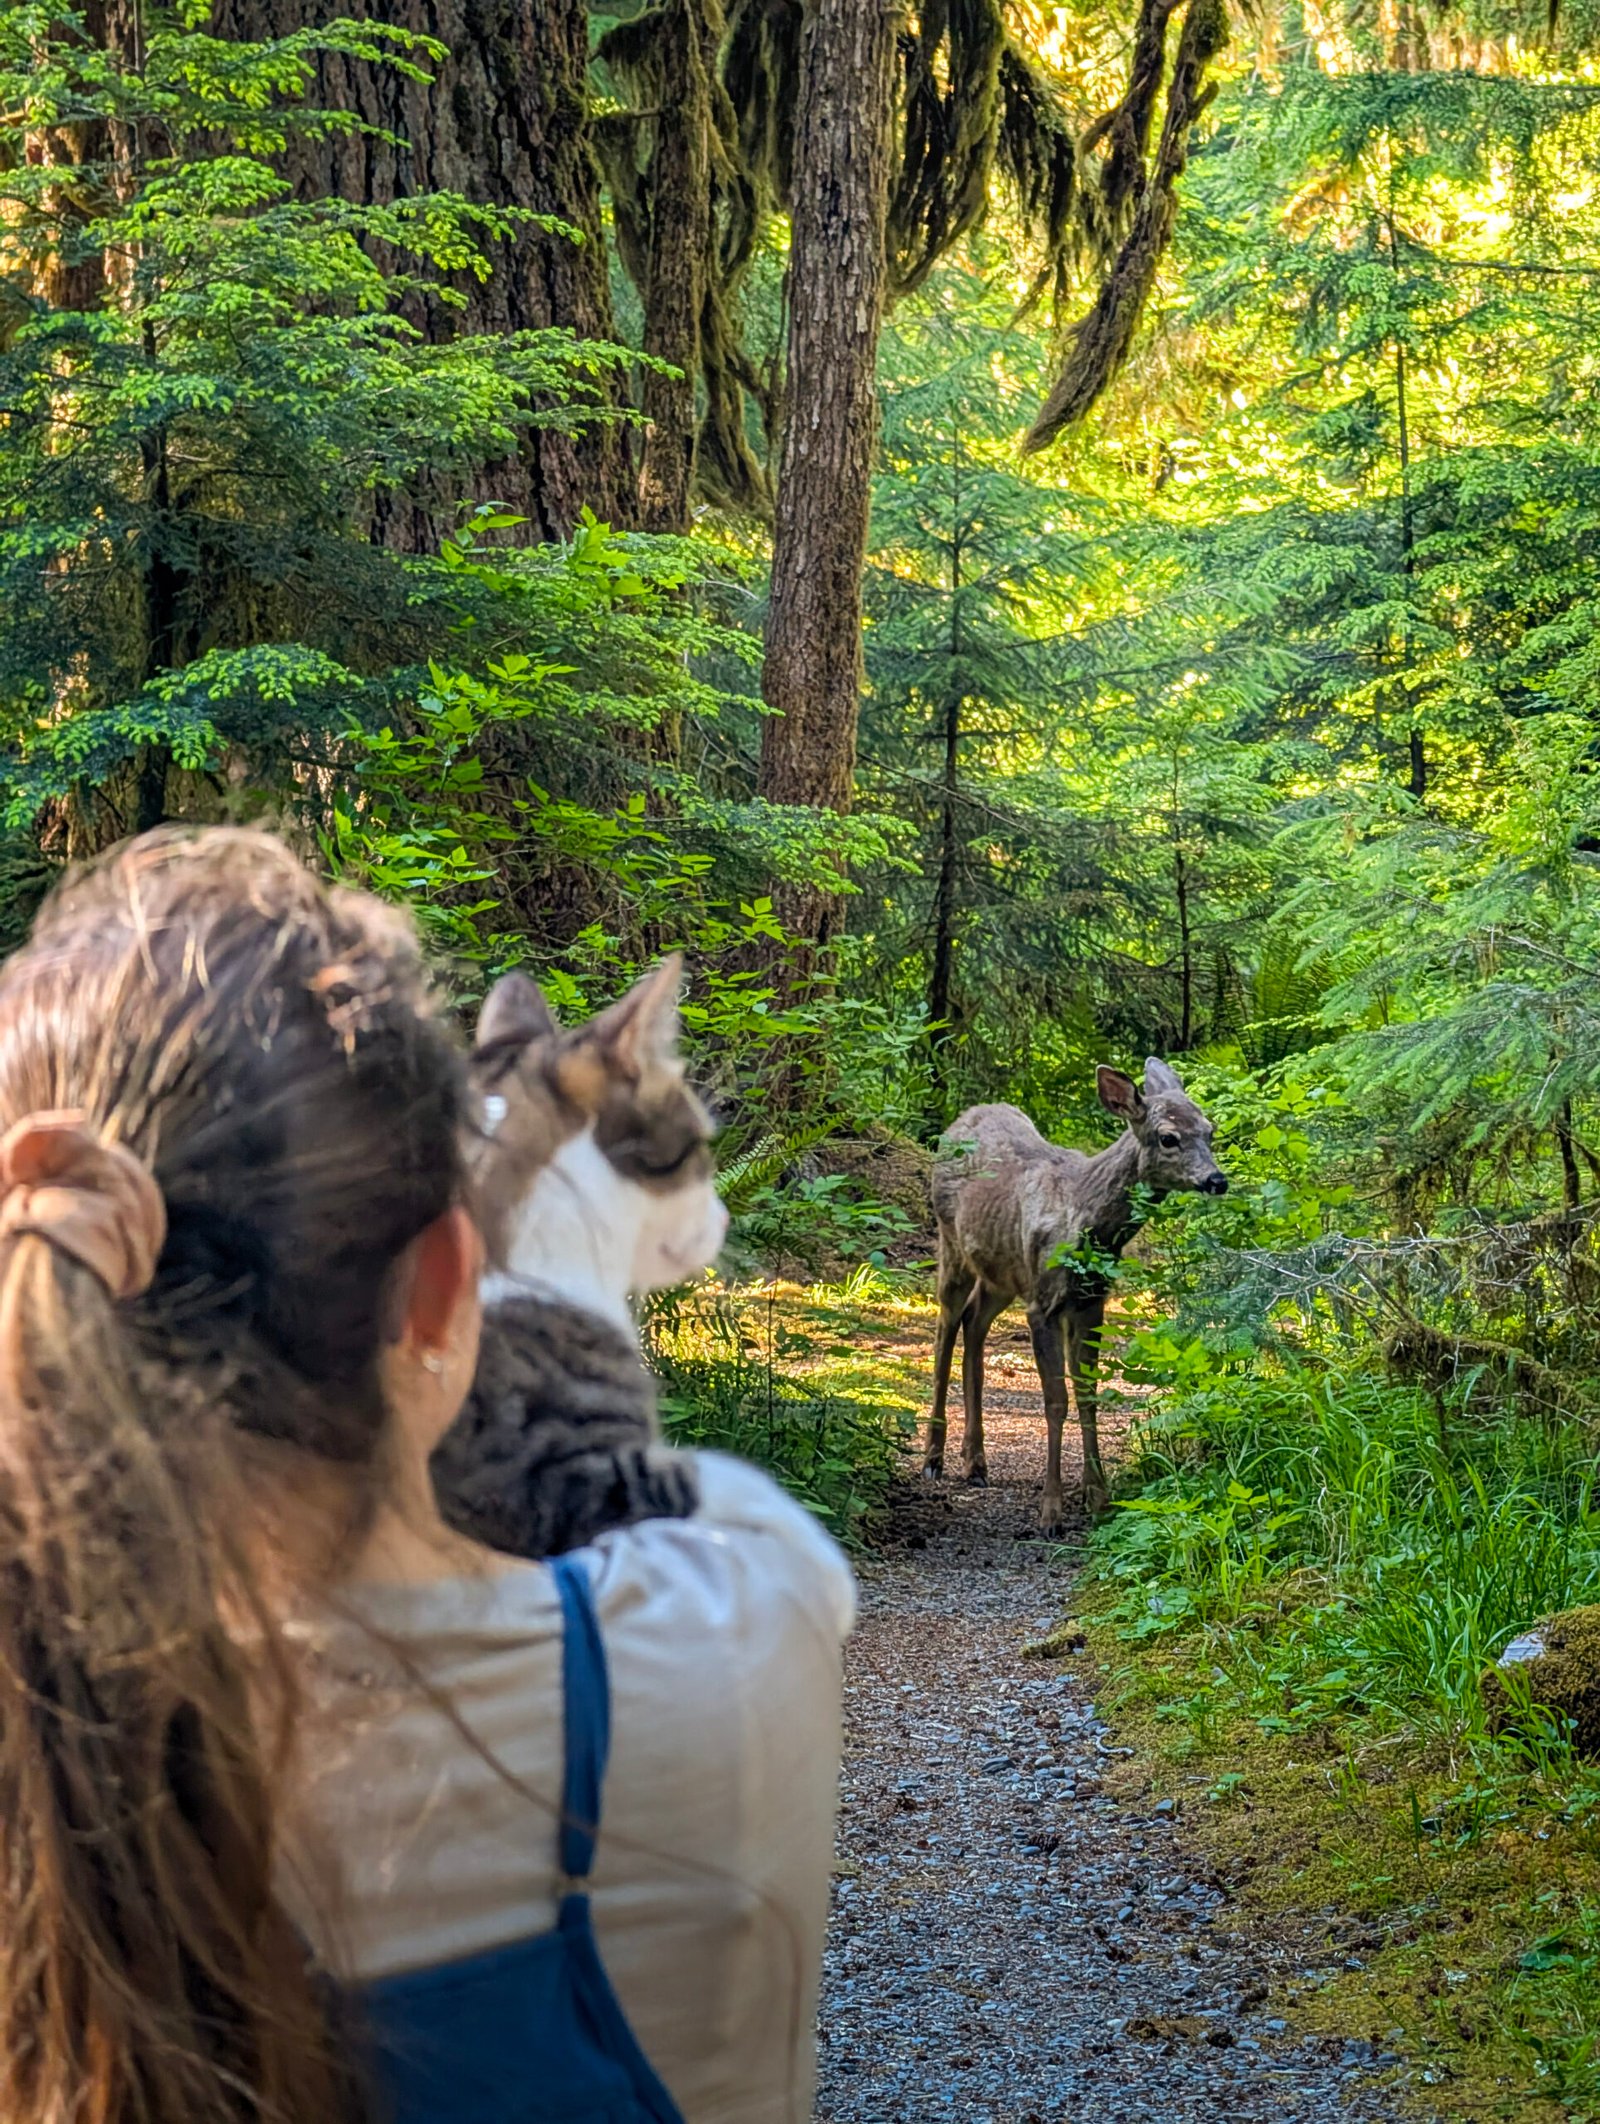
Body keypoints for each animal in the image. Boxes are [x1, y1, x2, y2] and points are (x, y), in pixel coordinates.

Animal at [923, 1059, 1227, 1532]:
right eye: (1168, 1137)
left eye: (1210, 1130)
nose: (1217, 1180)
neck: (1085, 1218)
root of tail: (961, 1120)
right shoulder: (1044, 1302)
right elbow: (1056, 1401)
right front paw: (1051, 1511)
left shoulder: (1090, 1301)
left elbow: (1088, 1396)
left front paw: (1098, 1498)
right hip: (951, 1243)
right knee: (945, 1328)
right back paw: (933, 1458)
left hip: (1002, 1274)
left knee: (974, 1322)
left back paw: (975, 1461)